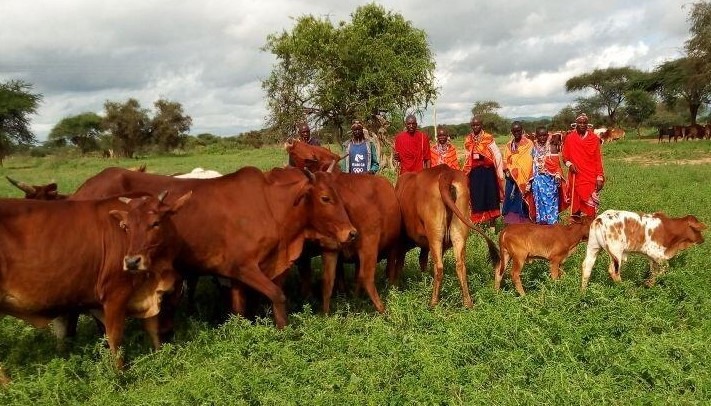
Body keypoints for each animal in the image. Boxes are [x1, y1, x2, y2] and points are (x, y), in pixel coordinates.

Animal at [0, 191, 191, 372]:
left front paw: (161, 357)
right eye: (125, 226)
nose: (131, 262)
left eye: (155, 223)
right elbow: (114, 338)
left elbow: (152, 330)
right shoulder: (114, 295)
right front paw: (120, 374)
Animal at [67, 165, 356, 326]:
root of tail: (80, 191)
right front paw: (283, 331)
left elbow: (240, 308)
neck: (270, 206)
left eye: (339, 195)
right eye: (325, 198)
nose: (351, 233)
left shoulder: (236, 275)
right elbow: (277, 295)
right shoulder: (244, 268)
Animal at [390, 165, 500, 308]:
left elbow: (400, 264)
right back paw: (467, 303)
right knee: (460, 266)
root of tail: (446, 174)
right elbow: (422, 262)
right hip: (459, 234)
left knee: (439, 267)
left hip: (435, 235)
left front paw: (395, 286)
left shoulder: (402, 243)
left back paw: (433, 303)